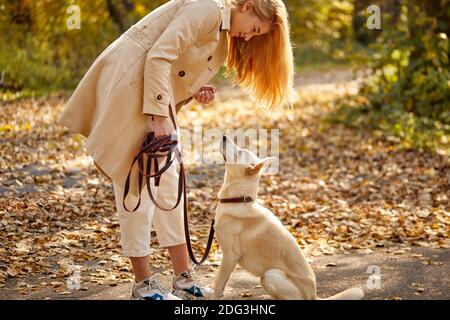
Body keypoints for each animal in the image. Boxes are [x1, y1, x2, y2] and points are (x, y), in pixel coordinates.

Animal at [209, 136, 364, 300]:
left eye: (239, 152)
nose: (224, 136)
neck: (239, 200)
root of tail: (313, 295)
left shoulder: (229, 256)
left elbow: (218, 283)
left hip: (270, 275)